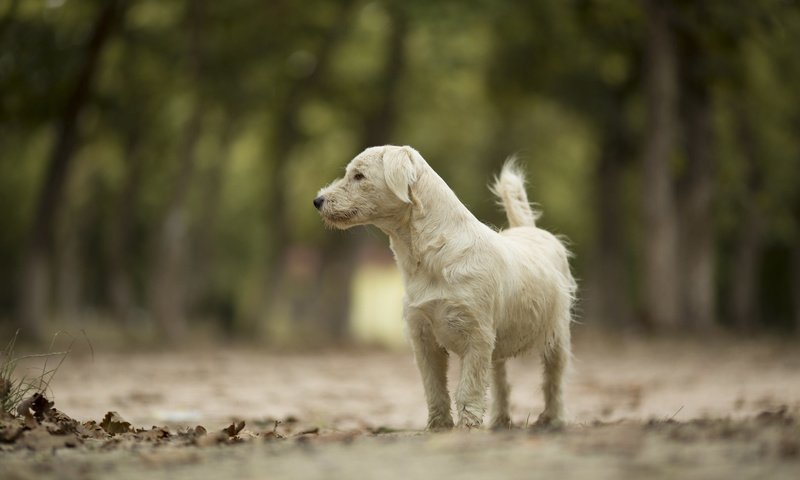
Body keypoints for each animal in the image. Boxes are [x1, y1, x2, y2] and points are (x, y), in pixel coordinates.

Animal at [312, 144, 576, 430]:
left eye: (359, 176)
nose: (318, 200)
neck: (431, 254)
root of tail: (530, 230)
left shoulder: (477, 337)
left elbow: (469, 388)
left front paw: (467, 427)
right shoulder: (423, 337)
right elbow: (434, 387)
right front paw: (439, 426)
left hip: (557, 337)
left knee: (554, 379)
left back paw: (553, 419)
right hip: (500, 347)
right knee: (501, 381)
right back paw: (500, 421)